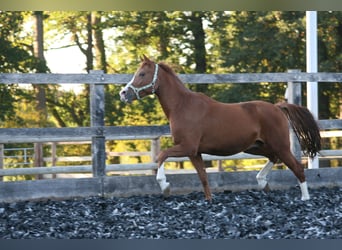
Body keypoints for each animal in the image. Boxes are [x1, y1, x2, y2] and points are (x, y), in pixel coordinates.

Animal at [119, 56, 320, 201]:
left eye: (142, 74)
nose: (123, 93)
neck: (182, 106)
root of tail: (278, 107)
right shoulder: (195, 153)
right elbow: (203, 177)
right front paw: (209, 200)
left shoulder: (187, 147)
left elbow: (161, 156)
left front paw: (165, 187)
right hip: (256, 147)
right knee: (273, 158)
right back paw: (263, 182)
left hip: (280, 146)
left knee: (297, 168)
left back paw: (305, 198)